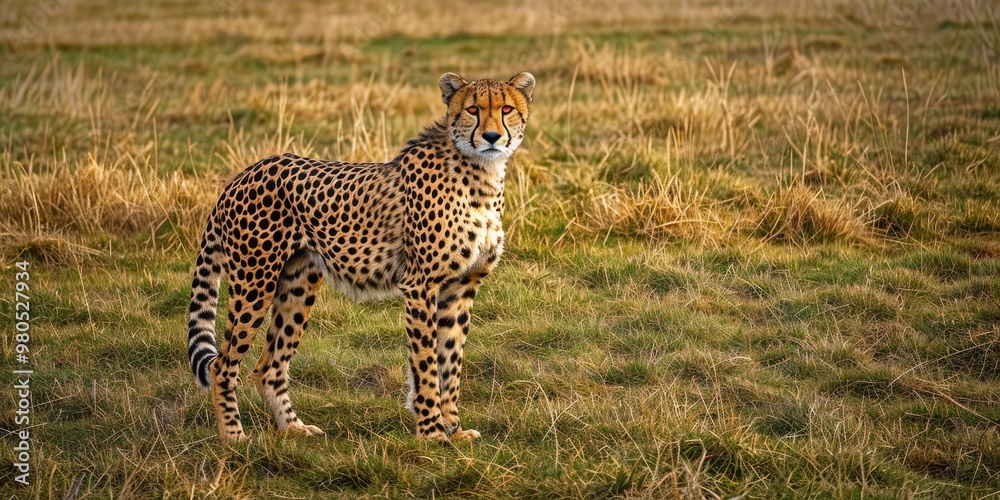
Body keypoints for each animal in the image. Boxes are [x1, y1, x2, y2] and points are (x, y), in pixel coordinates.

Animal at [186, 72, 535, 444]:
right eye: (472, 109)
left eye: (506, 109)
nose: (492, 137)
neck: (481, 173)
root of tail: (243, 174)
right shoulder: (420, 285)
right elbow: (426, 362)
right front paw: (431, 432)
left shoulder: (462, 286)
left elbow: (450, 360)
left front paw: (452, 429)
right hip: (255, 281)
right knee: (222, 365)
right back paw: (234, 437)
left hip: (298, 286)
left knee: (268, 366)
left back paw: (293, 427)